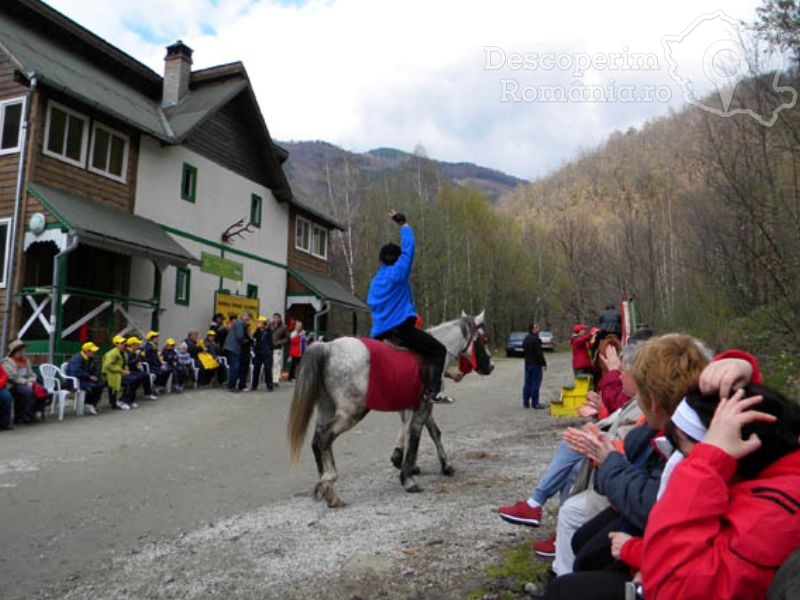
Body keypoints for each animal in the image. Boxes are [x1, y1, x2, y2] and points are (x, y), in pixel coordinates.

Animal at [288, 312, 494, 508]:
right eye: (484, 339)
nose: (490, 366)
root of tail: (328, 347)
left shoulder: (418, 404)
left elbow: (426, 432)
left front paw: (431, 465)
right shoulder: (424, 406)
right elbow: (417, 435)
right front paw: (409, 478)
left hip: (327, 408)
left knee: (317, 441)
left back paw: (329, 493)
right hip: (351, 413)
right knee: (324, 438)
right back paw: (329, 483)